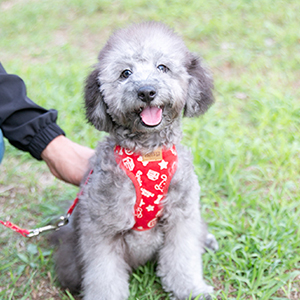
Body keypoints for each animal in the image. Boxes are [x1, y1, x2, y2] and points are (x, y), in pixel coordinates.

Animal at [52, 22, 218, 298]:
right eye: (125, 73)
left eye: (162, 67)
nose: (146, 91)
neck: (147, 154)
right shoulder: (101, 229)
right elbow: (104, 277)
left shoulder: (181, 217)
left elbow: (182, 260)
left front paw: (191, 290)